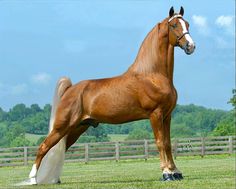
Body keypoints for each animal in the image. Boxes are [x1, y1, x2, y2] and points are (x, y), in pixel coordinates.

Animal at [28, 6, 195, 184]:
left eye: (187, 24)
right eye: (174, 25)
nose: (191, 46)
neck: (152, 74)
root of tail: (70, 89)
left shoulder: (167, 116)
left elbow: (168, 143)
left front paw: (176, 172)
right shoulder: (155, 115)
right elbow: (160, 142)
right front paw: (166, 173)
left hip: (77, 128)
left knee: (61, 149)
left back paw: (55, 179)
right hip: (62, 127)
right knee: (44, 147)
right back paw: (33, 179)